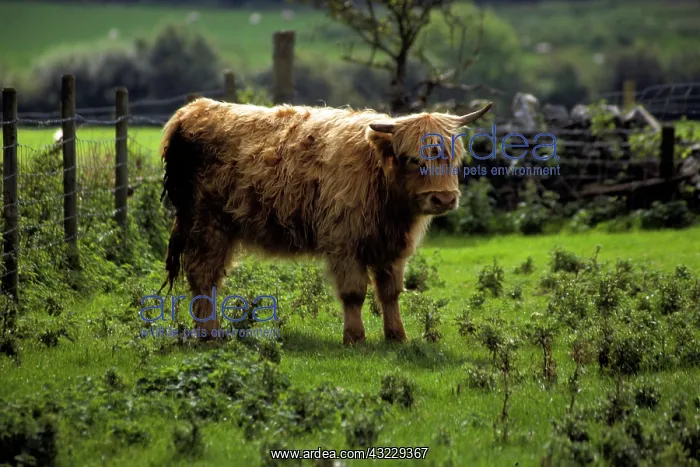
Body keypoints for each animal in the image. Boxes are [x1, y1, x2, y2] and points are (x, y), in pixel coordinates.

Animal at [158, 98, 493, 345]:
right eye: (414, 159)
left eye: (453, 157)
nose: (444, 199)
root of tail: (193, 109)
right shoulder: (344, 242)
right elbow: (354, 293)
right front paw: (355, 338)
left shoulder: (392, 248)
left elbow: (390, 292)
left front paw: (397, 336)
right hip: (207, 223)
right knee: (204, 276)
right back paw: (209, 334)